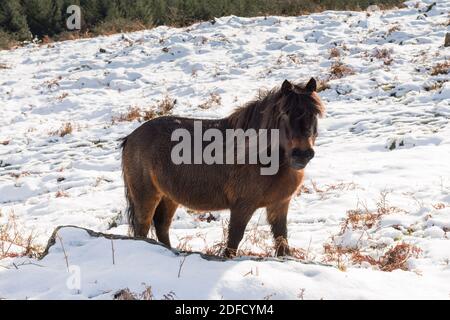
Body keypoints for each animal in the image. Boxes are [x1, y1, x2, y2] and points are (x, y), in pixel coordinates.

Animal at [120, 77, 324, 258]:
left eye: (314, 114)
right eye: (285, 114)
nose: (302, 154)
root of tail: (131, 137)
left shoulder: (279, 205)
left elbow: (282, 240)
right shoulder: (242, 206)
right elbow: (234, 240)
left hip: (169, 197)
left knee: (162, 226)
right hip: (146, 196)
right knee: (142, 229)